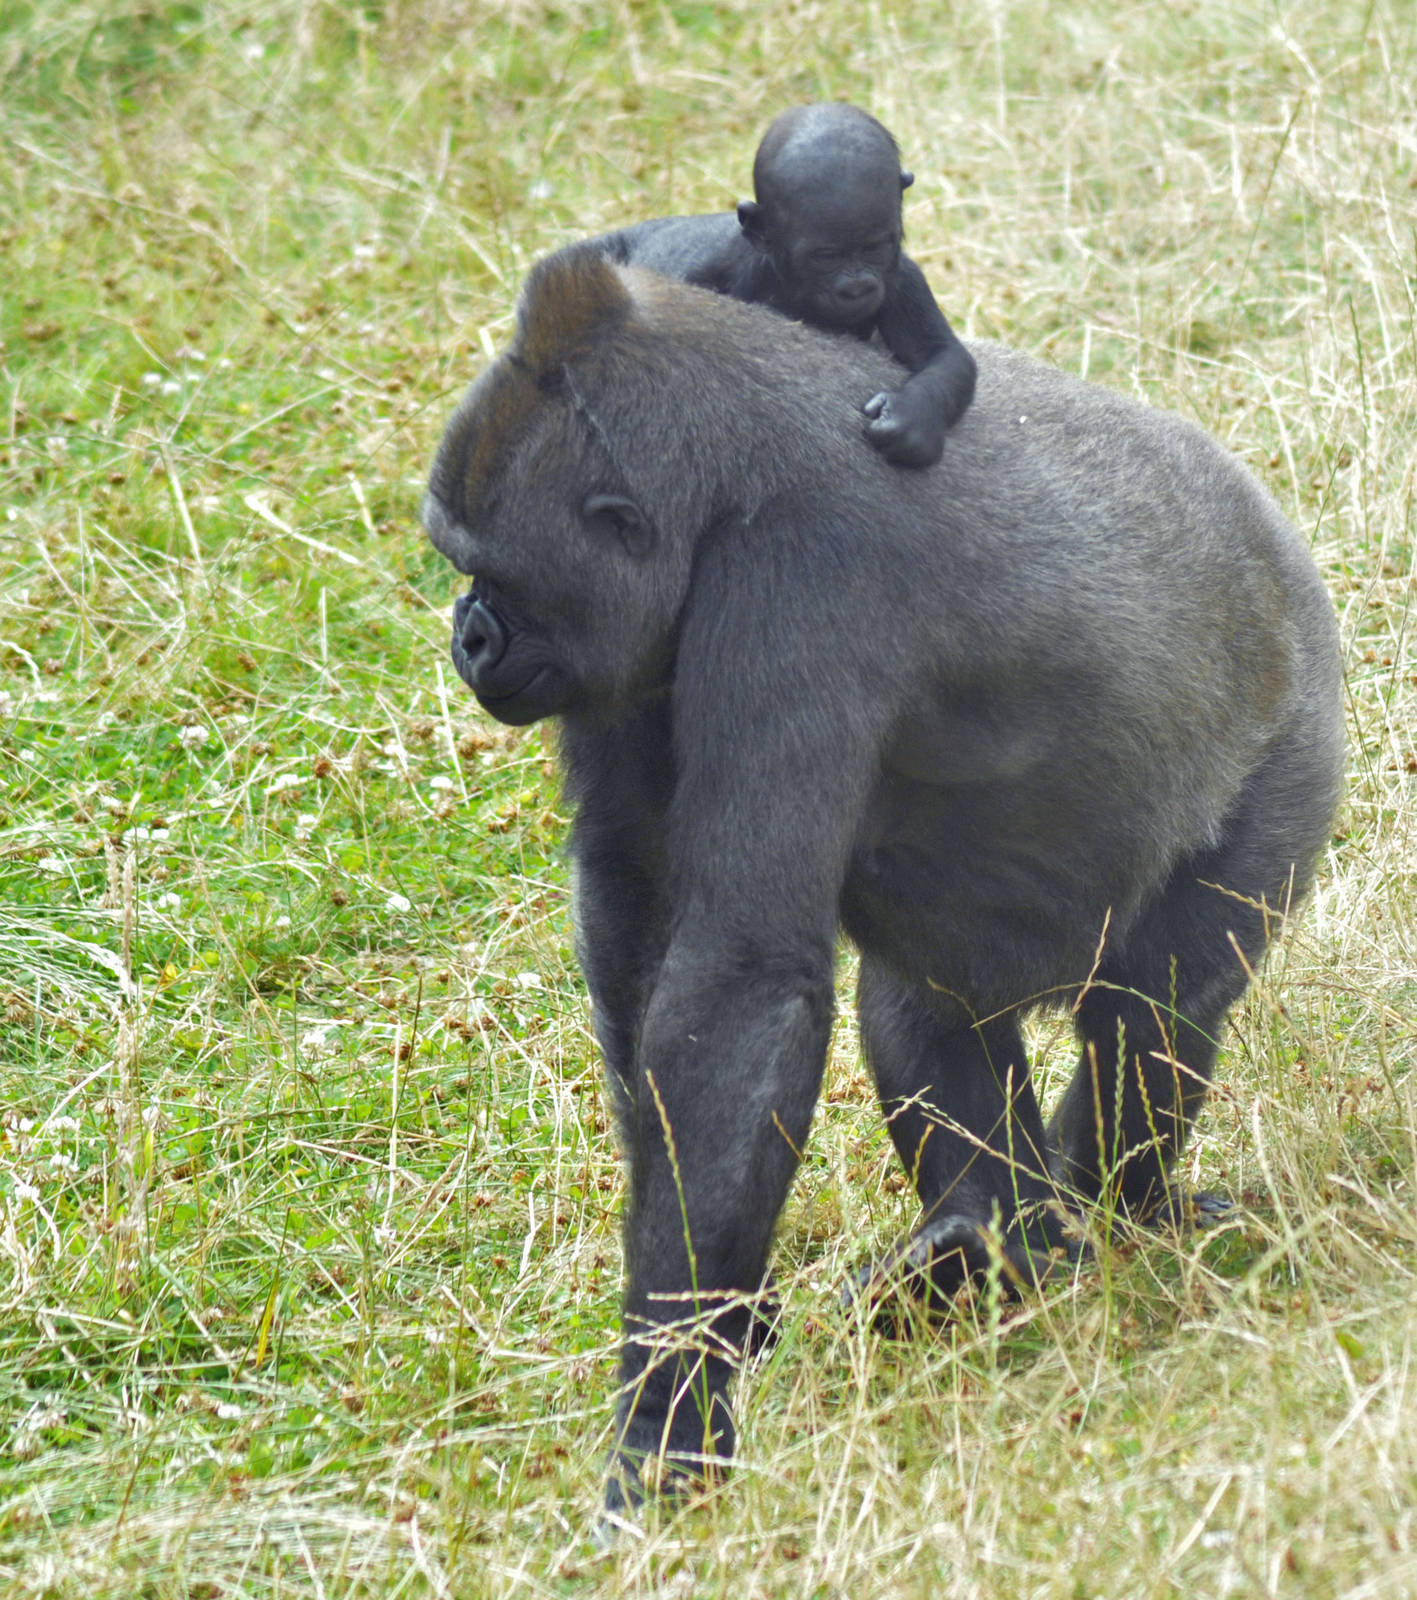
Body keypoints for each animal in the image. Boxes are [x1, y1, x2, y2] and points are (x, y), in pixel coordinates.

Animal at [422, 244, 1344, 1510]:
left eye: (493, 576)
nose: (467, 633)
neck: (718, 491)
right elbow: (635, 912)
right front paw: (720, 1315)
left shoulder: (799, 583)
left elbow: (743, 979)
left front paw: (667, 1415)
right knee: (919, 1013)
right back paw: (998, 1241)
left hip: (1289, 751)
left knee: (1150, 1014)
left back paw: (1116, 1211)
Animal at [593, 102, 976, 467]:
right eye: (826, 256)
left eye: (874, 248)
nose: (856, 288)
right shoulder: (703, 269)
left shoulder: (902, 278)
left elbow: (943, 354)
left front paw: (909, 418)